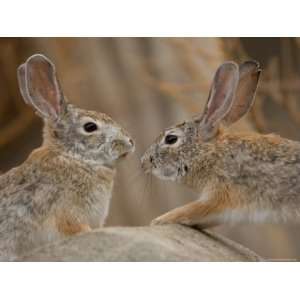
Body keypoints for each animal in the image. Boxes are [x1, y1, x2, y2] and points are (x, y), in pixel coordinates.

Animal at [141, 60, 300, 230]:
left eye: (171, 139)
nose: (143, 162)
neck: (211, 154)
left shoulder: (221, 194)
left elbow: (193, 209)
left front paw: (160, 219)